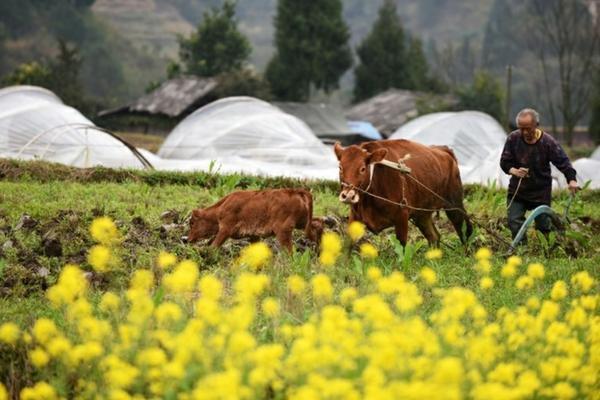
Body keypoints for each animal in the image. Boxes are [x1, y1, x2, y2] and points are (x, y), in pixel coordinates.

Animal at [336, 141, 472, 247]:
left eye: (363, 169)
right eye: (340, 168)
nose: (348, 195)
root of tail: (443, 150)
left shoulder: (402, 215)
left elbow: (402, 246)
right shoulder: (354, 217)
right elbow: (348, 246)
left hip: (454, 205)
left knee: (465, 230)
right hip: (421, 214)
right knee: (434, 237)